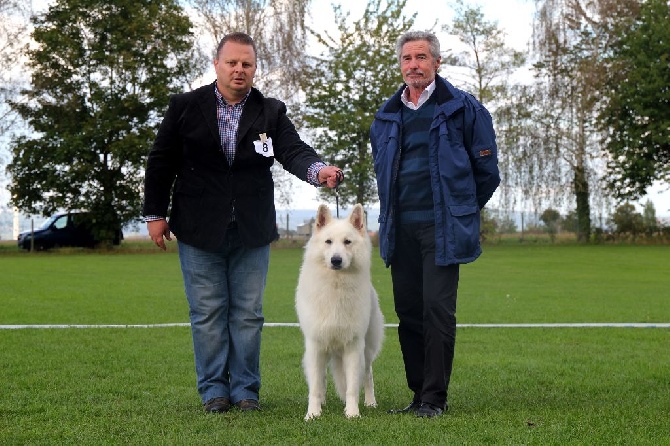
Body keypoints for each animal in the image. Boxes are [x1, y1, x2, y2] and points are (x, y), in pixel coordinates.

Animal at [296, 204, 386, 420]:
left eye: (347, 242)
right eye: (328, 241)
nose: (336, 260)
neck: (335, 286)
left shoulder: (353, 346)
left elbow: (352, 386)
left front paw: (352, 413)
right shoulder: (315, 345)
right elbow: (315, 385)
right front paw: (313, 413)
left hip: (366, 350)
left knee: (368, 375)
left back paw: (370, 402)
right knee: (322, 378)